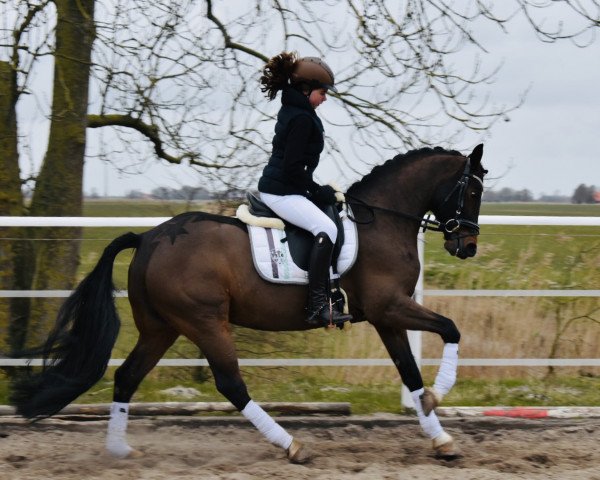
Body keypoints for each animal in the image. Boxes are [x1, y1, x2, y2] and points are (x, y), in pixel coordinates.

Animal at [10, 144, 488, 464]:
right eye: (472, 192)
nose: (467, 246)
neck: (382, 221)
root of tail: (148, 238)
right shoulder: (390, 307)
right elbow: (450, 329)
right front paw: (439, 397)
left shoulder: (386, 317)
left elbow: (410, 373)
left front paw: (440, 437)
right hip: (205, 322)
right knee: (230, 384)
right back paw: (291, 445)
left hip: (161, 327)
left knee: (127, 377)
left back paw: (119, 448)